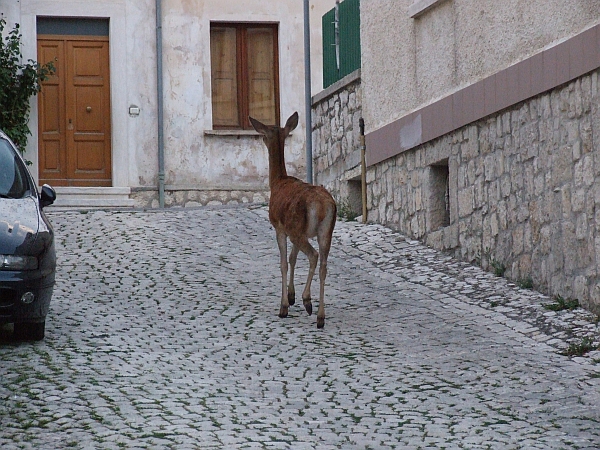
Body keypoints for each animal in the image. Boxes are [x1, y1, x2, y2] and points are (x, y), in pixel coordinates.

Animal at [248, 112, 338, 328]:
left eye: (264, 135)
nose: (260, 139)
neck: (277, 182)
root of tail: (322, 206)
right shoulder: (294, 230)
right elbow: (292, 258)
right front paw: (291, 296)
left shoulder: (280, 227)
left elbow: (283, 262)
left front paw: (284, 306)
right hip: (325, 231)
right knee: (324, 264)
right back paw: (320, 316)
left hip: (298, 229)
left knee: (313, 256)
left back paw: (308, 301)